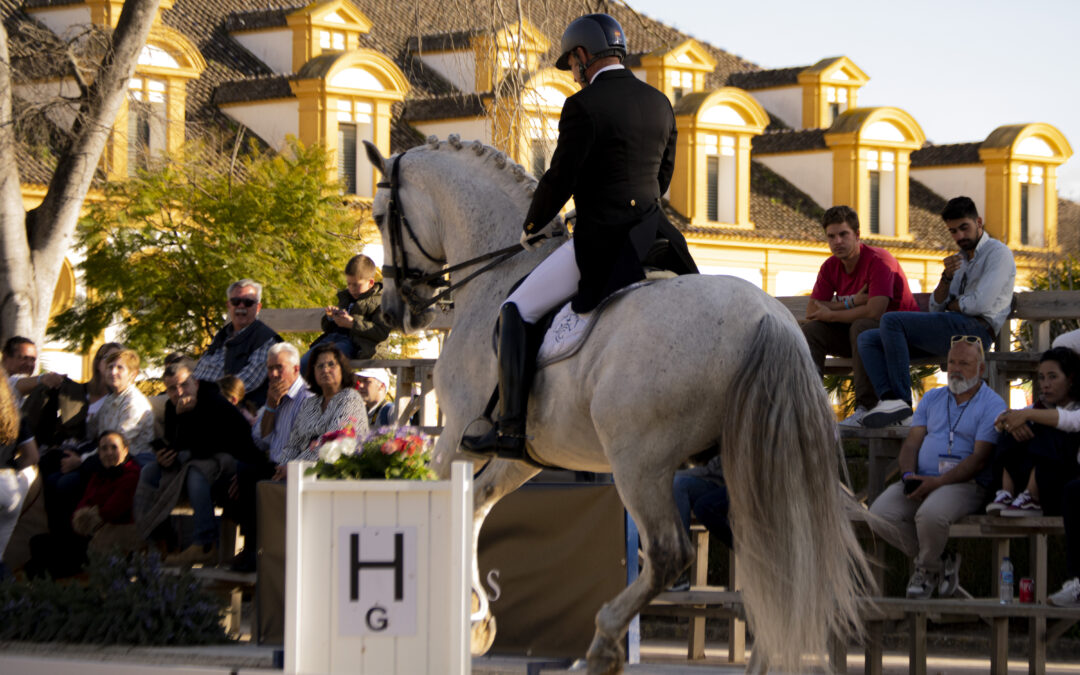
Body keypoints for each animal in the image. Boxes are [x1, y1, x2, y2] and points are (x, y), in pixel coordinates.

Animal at [367, 137, 872, 673]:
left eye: (379, 216)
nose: (394, 312)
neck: (498, 272)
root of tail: (768, 317)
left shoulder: (458, 435)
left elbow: (441, 501)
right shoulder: (524, 454)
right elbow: (478, 505)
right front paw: (477, 619)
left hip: (640, 461)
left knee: (671, 553)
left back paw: (603, 645)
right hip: (754, 460)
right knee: (781, 556)